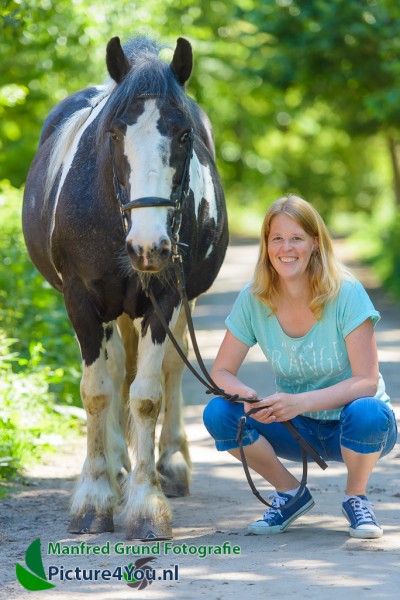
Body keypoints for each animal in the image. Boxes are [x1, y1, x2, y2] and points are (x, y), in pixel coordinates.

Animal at [22, 35, 228, 540]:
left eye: (183, 135)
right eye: (115, 134)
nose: (149, 247)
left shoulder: (167, 297)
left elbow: (148, 394)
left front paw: (146, 505)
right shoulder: (80, 299)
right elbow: (97, 390)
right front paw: (95, 497)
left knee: (171, 369)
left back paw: (169, 465)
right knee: (114, 369)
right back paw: (115, 466)